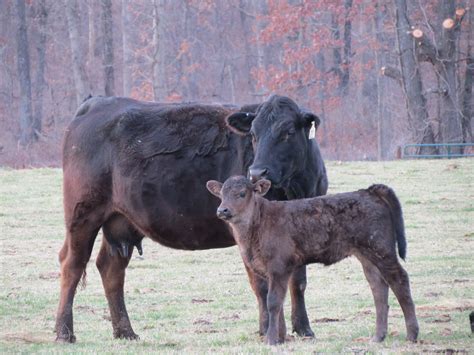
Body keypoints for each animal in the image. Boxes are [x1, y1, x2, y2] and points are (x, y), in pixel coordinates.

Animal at [53, 94, 324, 342]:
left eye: (288, 132)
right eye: (254, 134)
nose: (256, 172)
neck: (294, 189)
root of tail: (97, 101)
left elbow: (298, 281)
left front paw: (303, 329)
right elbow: (263, 284)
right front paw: (269, 331)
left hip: (121, 220)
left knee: (111, 269)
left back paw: (125, 332)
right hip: (82, 214)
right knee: (72, 264)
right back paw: (64, 332)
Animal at [207, 177, 418, 346]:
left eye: (242, 193)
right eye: (221, 194)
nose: (222, 210)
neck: (256, 227)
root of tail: (369, 191)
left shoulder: (279, 266)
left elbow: (273, 302)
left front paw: (271, 339)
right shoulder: (267, 270)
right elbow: (277, 302)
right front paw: (281, 338)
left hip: (381, 248)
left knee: (399, 279)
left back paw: (412, 334)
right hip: (366, 255)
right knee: (378, 287)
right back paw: (377, 337)